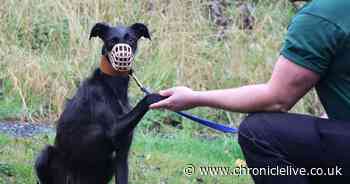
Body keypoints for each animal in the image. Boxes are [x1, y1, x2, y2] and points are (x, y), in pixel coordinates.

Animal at [34, 22, 166, 183]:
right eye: (111, 41)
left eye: (131, 40)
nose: (123, 56)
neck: (114, 86)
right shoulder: (113, 129)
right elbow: (147, 99)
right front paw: (158, 97)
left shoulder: (121, 156)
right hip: (45, 155)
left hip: (109, 163)